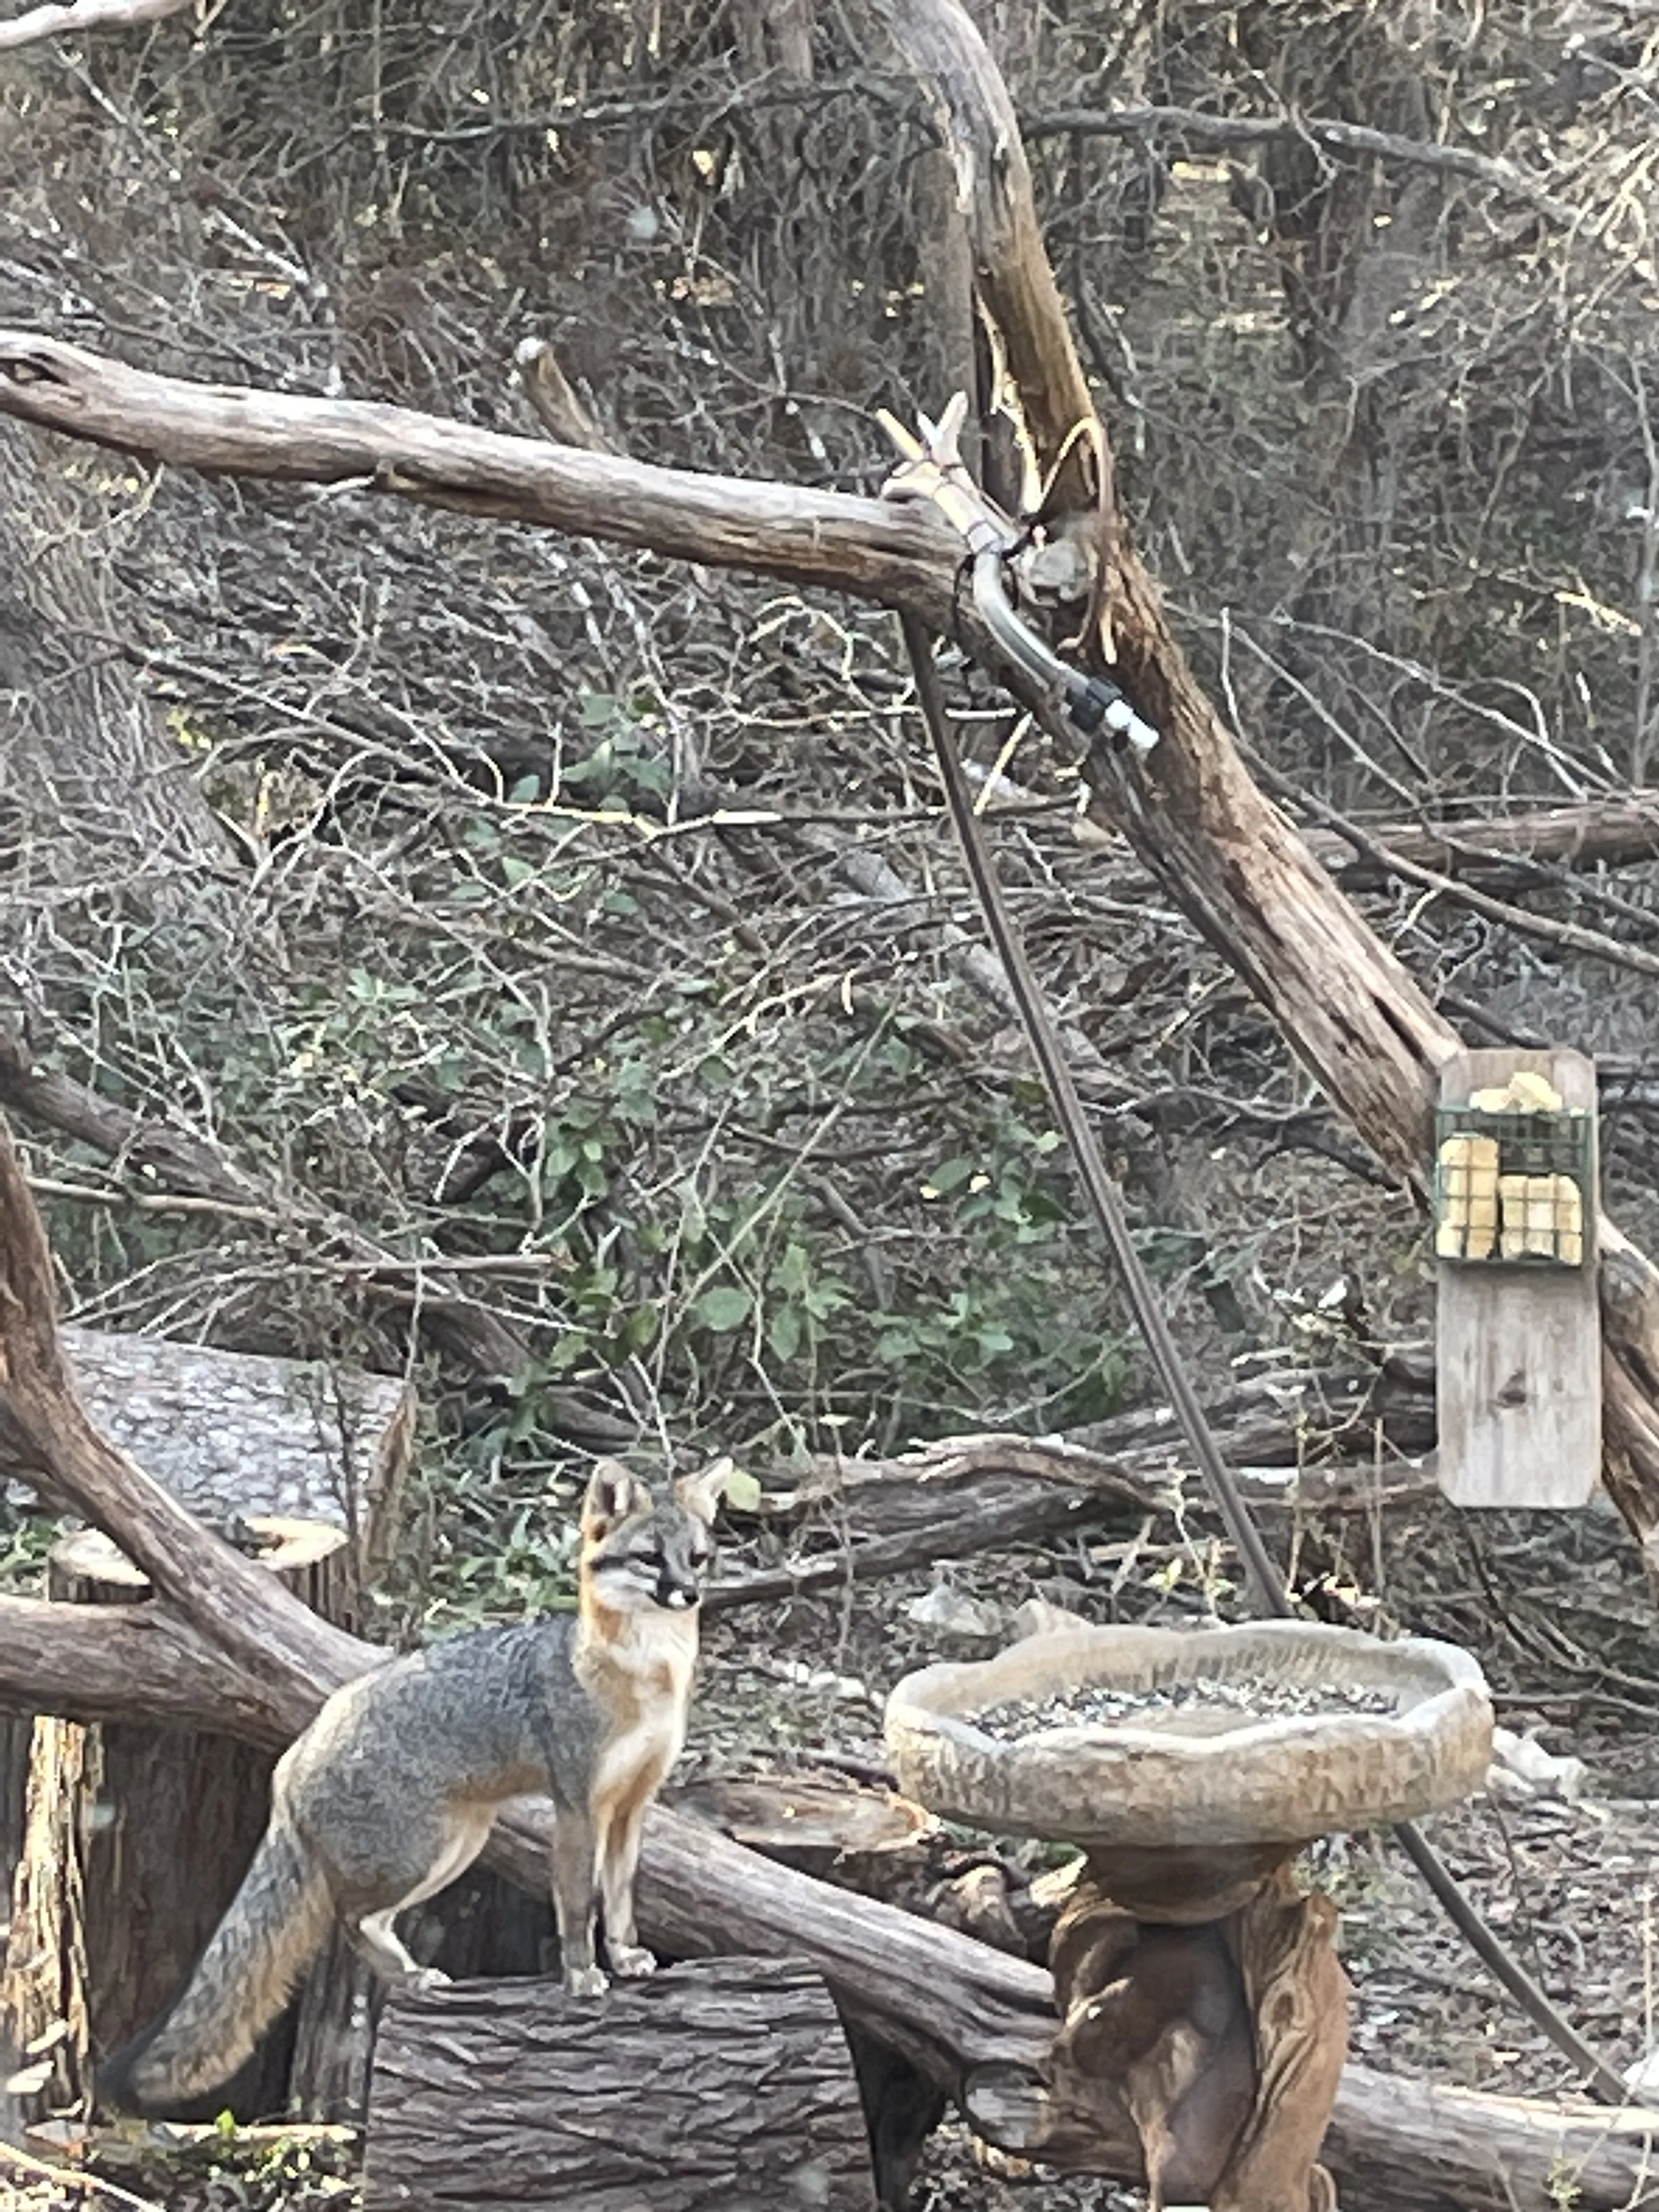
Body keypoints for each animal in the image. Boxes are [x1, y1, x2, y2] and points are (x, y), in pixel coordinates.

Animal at [102, 1460, 725, 2114]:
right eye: (650, 1558)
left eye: (697, 1557)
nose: (690, 1593)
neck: (647, 1678)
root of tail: (298, 1750)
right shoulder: (578, 1806)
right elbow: (580, 1905)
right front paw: (580, 1975)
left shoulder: (633, 1807)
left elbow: (621, 1898)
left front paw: (626, 1955)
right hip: (420, 1854)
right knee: (350, 1921)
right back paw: (407, 1977)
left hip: (458, 1847)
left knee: (371, 1923)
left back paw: (412, 1976)